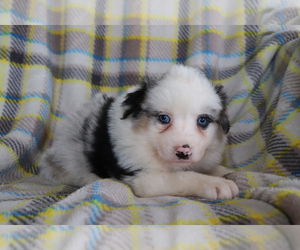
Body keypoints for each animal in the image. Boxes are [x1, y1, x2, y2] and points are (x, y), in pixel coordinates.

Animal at [39, 64, 239, 199]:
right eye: (164, 118)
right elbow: (183, 176)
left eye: (202, 120)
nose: (183, 152)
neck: (148, 141)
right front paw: (216, 184)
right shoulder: (144, 177)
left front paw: (221, 171)